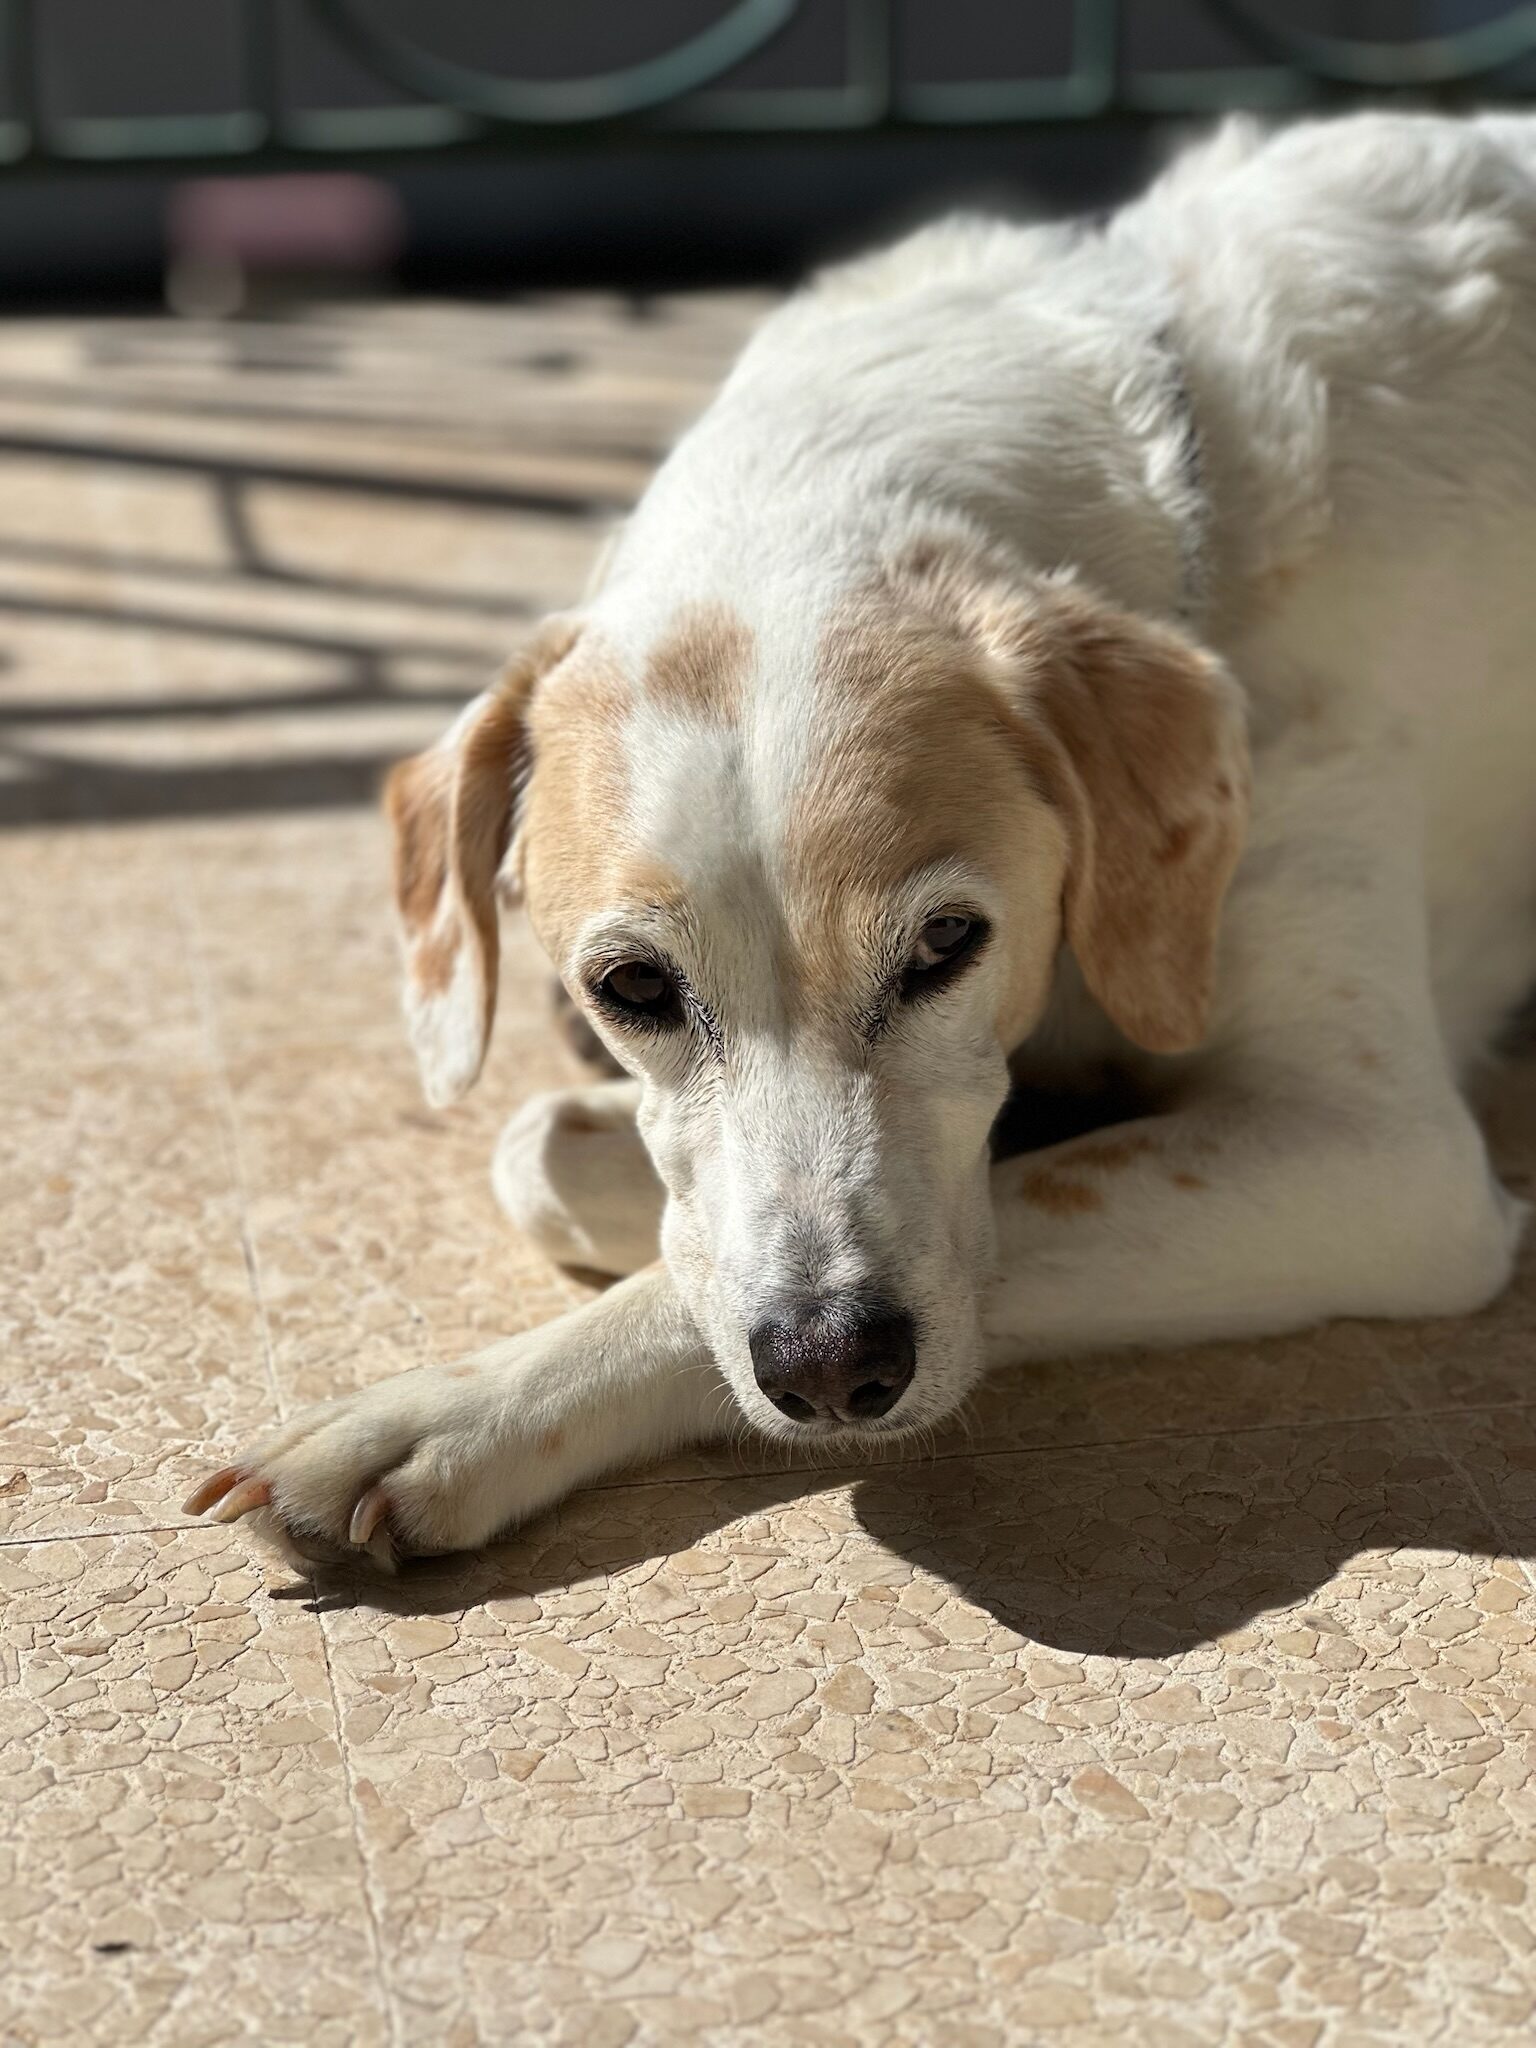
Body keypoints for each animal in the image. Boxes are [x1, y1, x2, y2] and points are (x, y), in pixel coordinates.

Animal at [189, 116, 1536, 1564]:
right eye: (632, 986)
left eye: (948, 943)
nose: (835, 1367)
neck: (1195, 492)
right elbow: (552, 1157)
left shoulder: (1381, 1158)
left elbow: (920, 1231)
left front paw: (449, 1413)